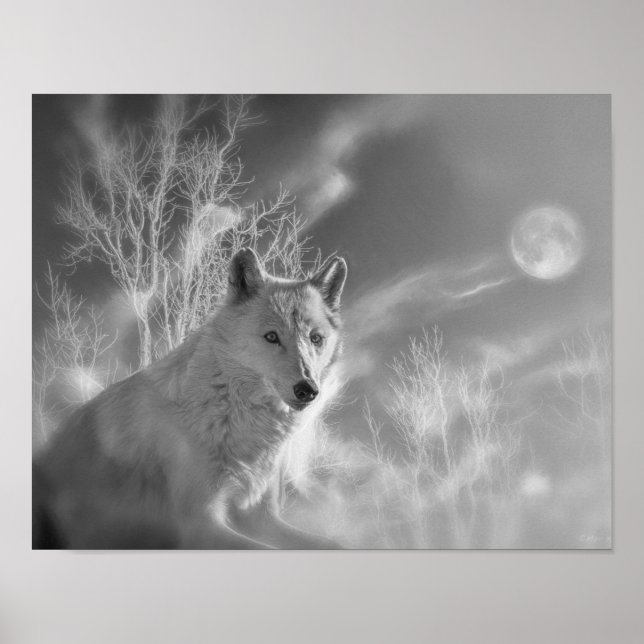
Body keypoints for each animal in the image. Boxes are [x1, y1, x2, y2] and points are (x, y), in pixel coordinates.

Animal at [33, 248, 347, 549]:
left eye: (316, 339)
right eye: (271, 337)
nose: (307, 389)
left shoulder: (262, 518)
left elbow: (333, 545)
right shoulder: (200, 526)